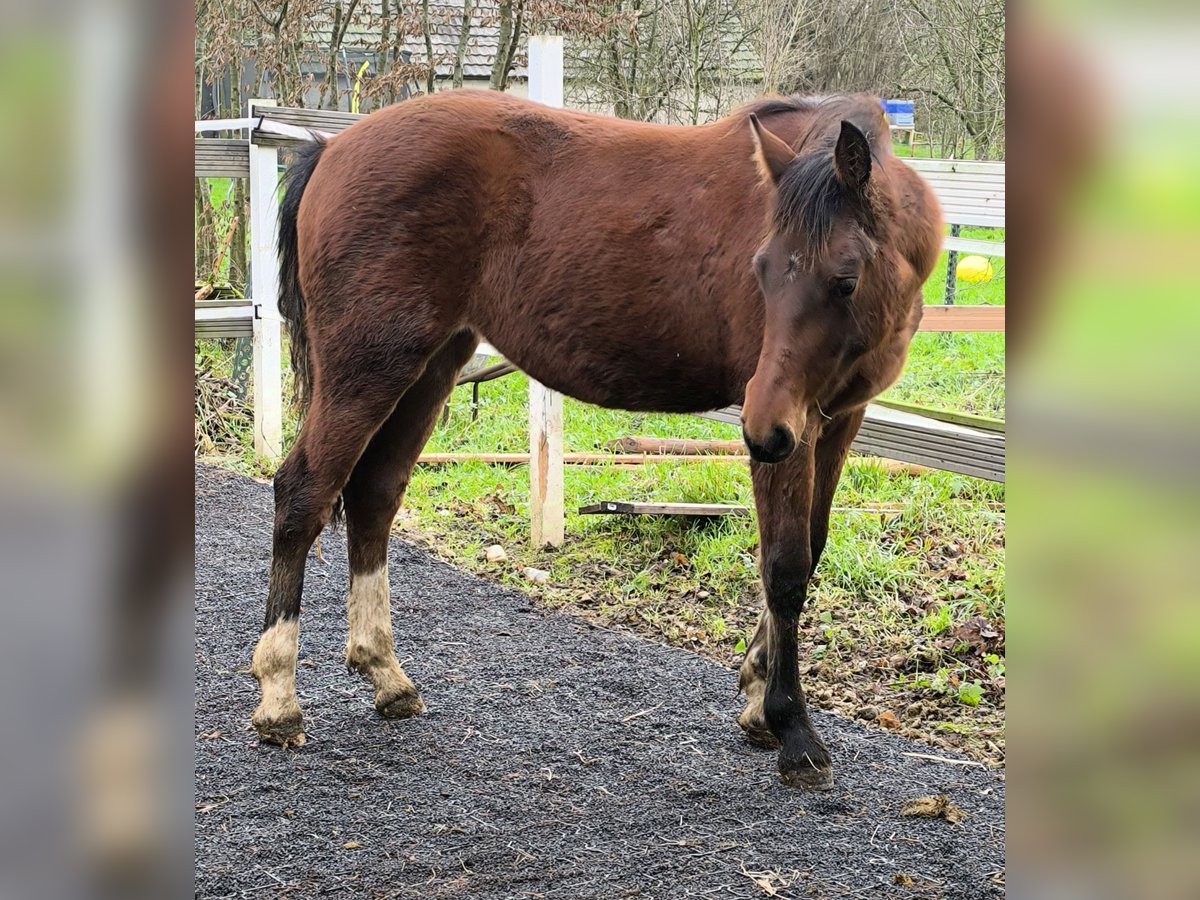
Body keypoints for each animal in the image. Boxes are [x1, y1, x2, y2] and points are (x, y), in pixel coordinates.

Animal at [253, 90, 940, 787]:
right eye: (763, 271)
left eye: (844, 279)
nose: (759, 430)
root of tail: (333, 147)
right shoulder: (793, 428)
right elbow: (785, 564)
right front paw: (792, 727)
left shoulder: (832, 417)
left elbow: (813, 545)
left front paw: (755, 694)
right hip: (369, 366)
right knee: (303, 493)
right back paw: (280, 698)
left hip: (431, 365)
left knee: (374, 494)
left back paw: (385, 675)